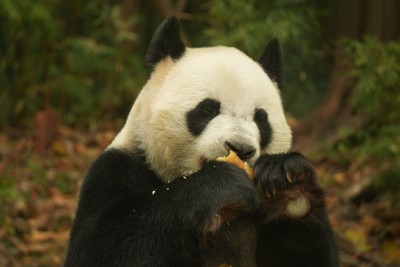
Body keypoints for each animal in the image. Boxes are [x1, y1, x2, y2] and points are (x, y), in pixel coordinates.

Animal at [65, 16, 338, 267]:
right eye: (207, 109)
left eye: (261, 119)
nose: (241, 148)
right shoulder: (116, 170)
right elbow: (102, 248)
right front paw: (221, 185)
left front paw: (289, 185)